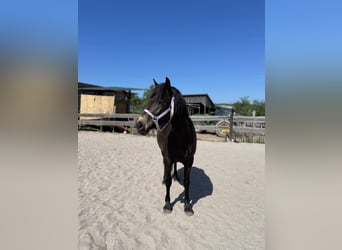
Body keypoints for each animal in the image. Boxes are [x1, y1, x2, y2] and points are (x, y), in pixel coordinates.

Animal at [136, 77, 196, 216]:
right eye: (149, 99)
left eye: (161, 101)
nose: (139, 124)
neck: (182, 136)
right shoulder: (168, 158)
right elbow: (168, 181)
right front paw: (167, 204)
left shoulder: (189, 161)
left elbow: (187, 182)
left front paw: (187, 205)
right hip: (163, 154)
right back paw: (164, 179)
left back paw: (176, 177)